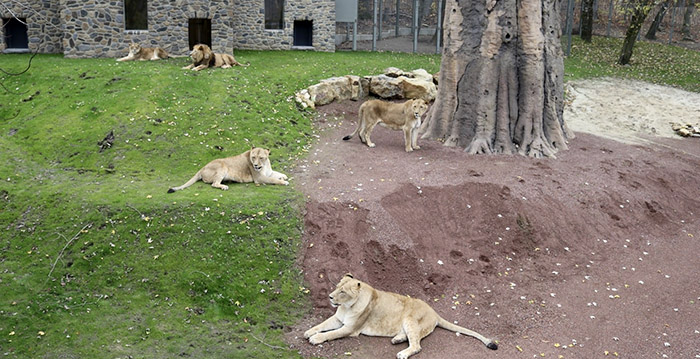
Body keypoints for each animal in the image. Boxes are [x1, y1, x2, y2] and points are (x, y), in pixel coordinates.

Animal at [304, 274, 498, 358]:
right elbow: (322, 325)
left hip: (410, 318)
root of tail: (435, 312)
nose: (330, 297)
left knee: (417, 345)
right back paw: (397, 339)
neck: (346, 307)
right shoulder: (338, 319)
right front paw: (308, 332)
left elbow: (331, 333)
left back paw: (402, 353)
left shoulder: (350, 328)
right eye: (337, 287)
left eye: (342, 292)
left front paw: (316, 338)